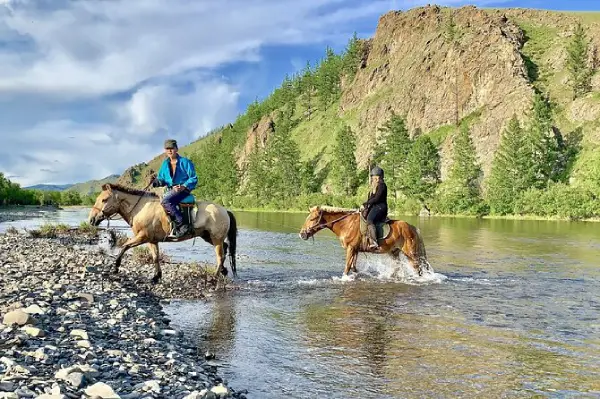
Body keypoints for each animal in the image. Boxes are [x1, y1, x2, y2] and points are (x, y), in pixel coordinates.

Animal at [88, 184, 238, 284]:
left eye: (104, 200)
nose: (92, 219)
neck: (141, 208)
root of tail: (225, 210)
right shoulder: (151, 240)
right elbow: (155, 257)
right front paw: (156, 276)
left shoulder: (142, 237)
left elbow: (124, 246)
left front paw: (116, 267)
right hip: (208, 236)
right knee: (225, 249)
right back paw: (224, 271)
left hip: (216, 238)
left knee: (220, 255)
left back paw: (215, 277)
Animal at [300, 208, 432, 276]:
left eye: (312, 219)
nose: (302, 234)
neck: (346, 224)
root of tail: (412, 227)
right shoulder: (355, 250)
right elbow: (353, 266)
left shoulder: (351, 248)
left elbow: (347, 266)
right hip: (394, 252)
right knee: (398, 267)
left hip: (410, 254)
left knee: (418, 268)